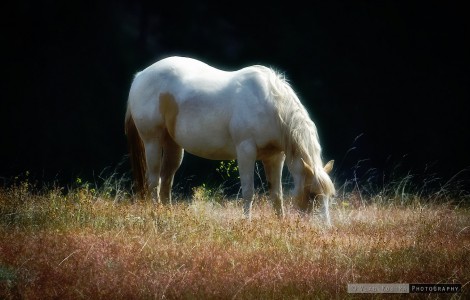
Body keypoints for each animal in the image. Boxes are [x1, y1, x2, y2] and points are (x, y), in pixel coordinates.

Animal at [125, 56, 336, 225]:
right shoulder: (246, 151)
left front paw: (281, 223)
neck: (271, 105)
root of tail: (140, 76)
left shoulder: (275, 157)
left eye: (329, 196)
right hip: (152, 141)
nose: (325, 228)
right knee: (154, 181)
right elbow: (248, 192)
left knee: (166, 181)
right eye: (312, 195)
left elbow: (277, 195)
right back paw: (156, 214)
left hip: (173, 146)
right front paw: (246, 222)